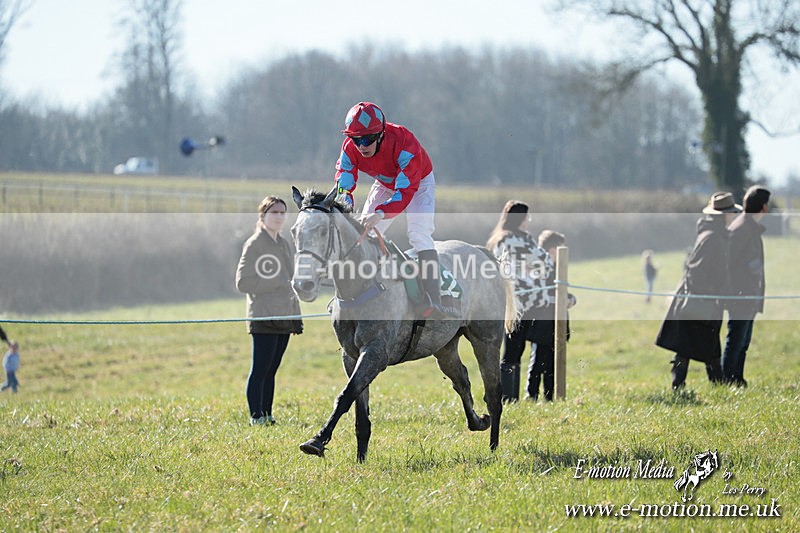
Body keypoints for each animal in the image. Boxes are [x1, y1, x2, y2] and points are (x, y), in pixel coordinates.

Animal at [290, 186, 518, 462]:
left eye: (323, 231)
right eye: (294, 232)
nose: (302, 285)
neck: (362, 285)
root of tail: (479, 251)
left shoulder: (376, 352)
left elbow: (346, 395)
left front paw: (317, 440)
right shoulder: (351, 355)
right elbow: (359, 406)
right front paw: (360, 458)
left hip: (486, 339)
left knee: (493, 393)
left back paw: (493, 446)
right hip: (444, 345)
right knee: (461, 379)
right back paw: (479, 421)